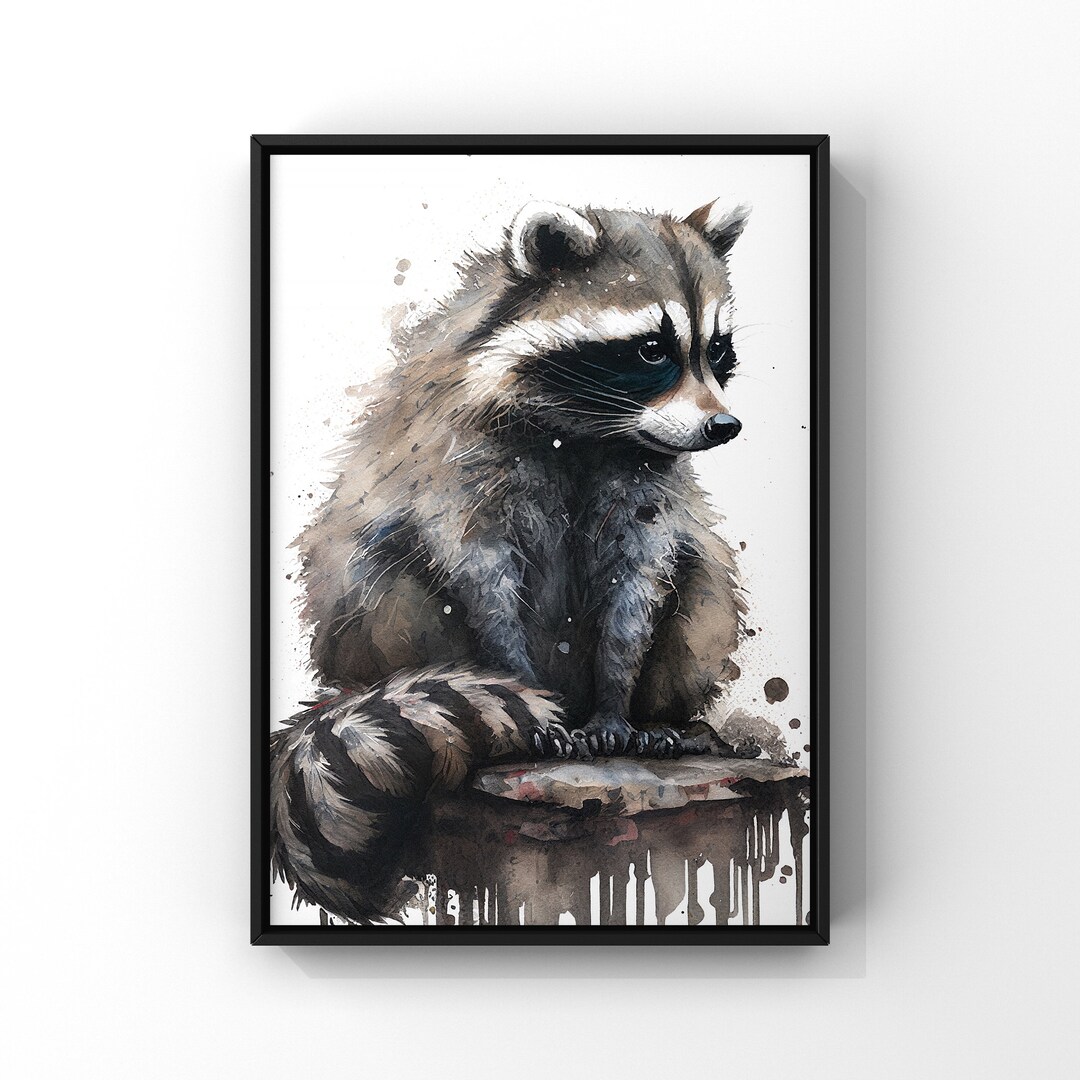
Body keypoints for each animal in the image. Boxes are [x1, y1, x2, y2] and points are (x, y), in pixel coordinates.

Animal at [271, 198, 755, 922]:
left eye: (716, 350)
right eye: (651, 349)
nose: (724, 428)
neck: (591, 431)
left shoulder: (645, 481)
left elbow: (637, 582)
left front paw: (616, 702)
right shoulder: (457, 459)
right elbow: (481, 575)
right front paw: (525, 688)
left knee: (703, 581)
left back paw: (668, 717)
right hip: (365, 620)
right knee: (388, 572)